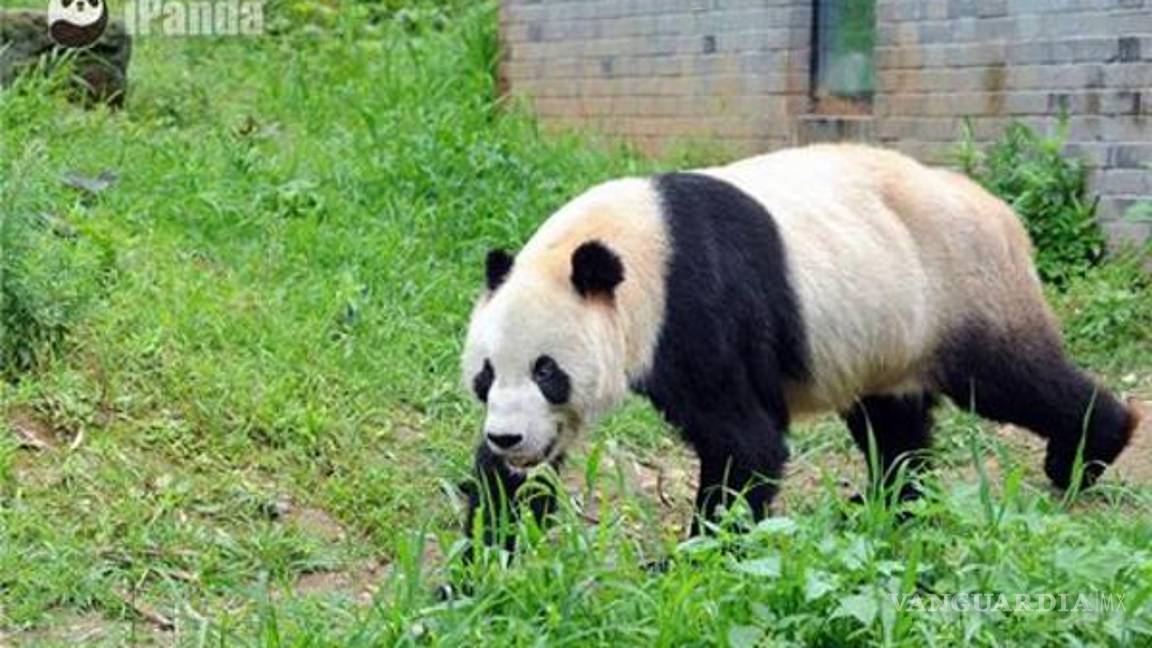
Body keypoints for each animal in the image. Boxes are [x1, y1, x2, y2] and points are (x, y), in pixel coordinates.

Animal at [459, 144, 1140, 548]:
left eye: (549, 372)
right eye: (486, 376)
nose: (510, 438)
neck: (632, 243)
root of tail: (1004, 213)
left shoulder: (697, 307)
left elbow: (744, 440)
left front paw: (700, 554)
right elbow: (507, 487)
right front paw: (483, 562)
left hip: (956, 286)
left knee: (1012, 379)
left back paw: (1086, 453)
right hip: (886, 326)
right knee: (891, 420)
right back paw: (888, 505)